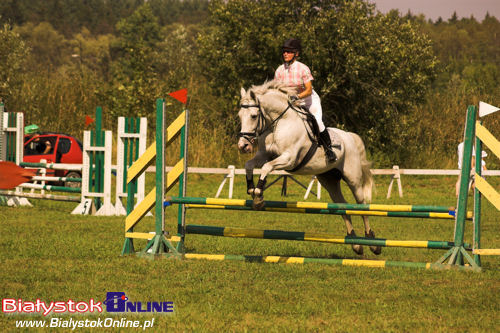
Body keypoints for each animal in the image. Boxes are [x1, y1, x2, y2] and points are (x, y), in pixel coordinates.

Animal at [236, 80, 380, 254]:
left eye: (253, 116)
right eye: (239, 116)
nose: (243, 146)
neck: (279, 123)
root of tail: (349, 136)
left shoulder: (289, 158)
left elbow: (266, 168)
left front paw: (258, 196)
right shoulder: (264, 155)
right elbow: (249, 165)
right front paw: (251, 188)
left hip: (353, 179)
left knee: (361, 205)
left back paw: (372, 242)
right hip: (329, 180)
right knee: (342, 206)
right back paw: (356, 244)